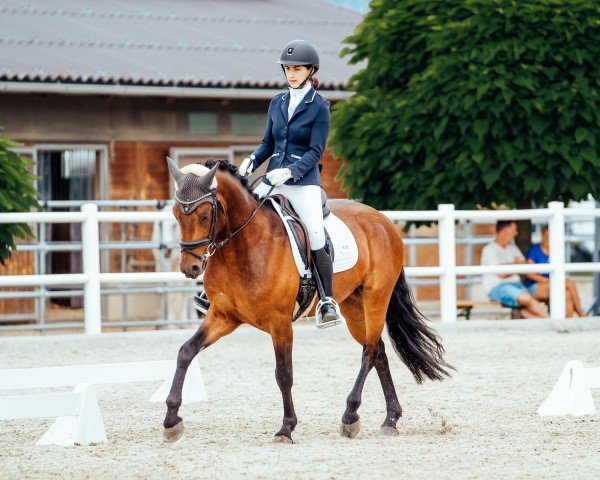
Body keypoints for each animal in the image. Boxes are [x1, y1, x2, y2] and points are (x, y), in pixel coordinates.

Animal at [162, 159, 452, 444]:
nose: (189, 268)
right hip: (353, 304)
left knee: (370, 351)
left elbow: (283, 374)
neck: (244, 246)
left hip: (376, 297)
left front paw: (286, 428)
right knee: (378, 350)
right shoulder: (223, 316)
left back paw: (350, 415)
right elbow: (186, 352)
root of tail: (383, 220)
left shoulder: (279, 322)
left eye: (204, 215)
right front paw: (172, 421)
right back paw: (390, 419)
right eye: (176, 215)